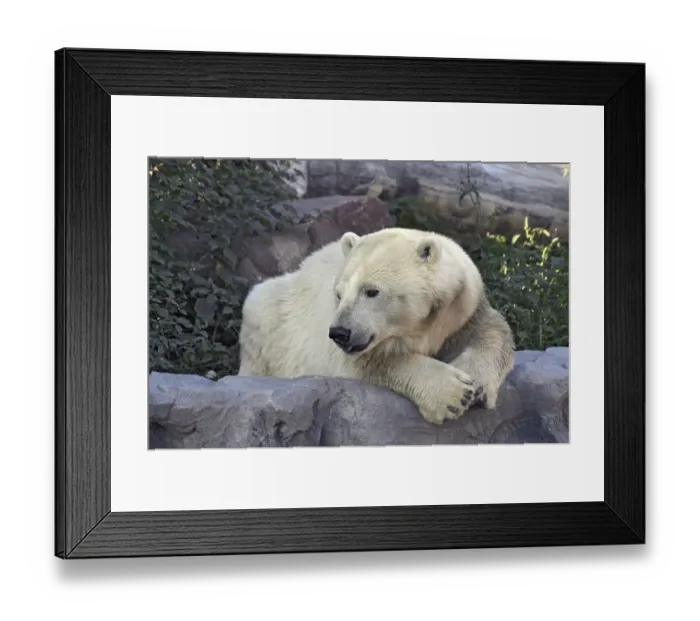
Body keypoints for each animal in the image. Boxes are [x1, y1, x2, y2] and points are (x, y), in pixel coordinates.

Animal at [237, 226, 515, 425]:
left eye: (371, 291)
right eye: (339, 294)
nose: (340, 333)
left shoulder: (464, 308)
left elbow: (494, 331)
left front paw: (477, 386)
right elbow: (376, 360)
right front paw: (453, 394)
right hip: (272, 321)